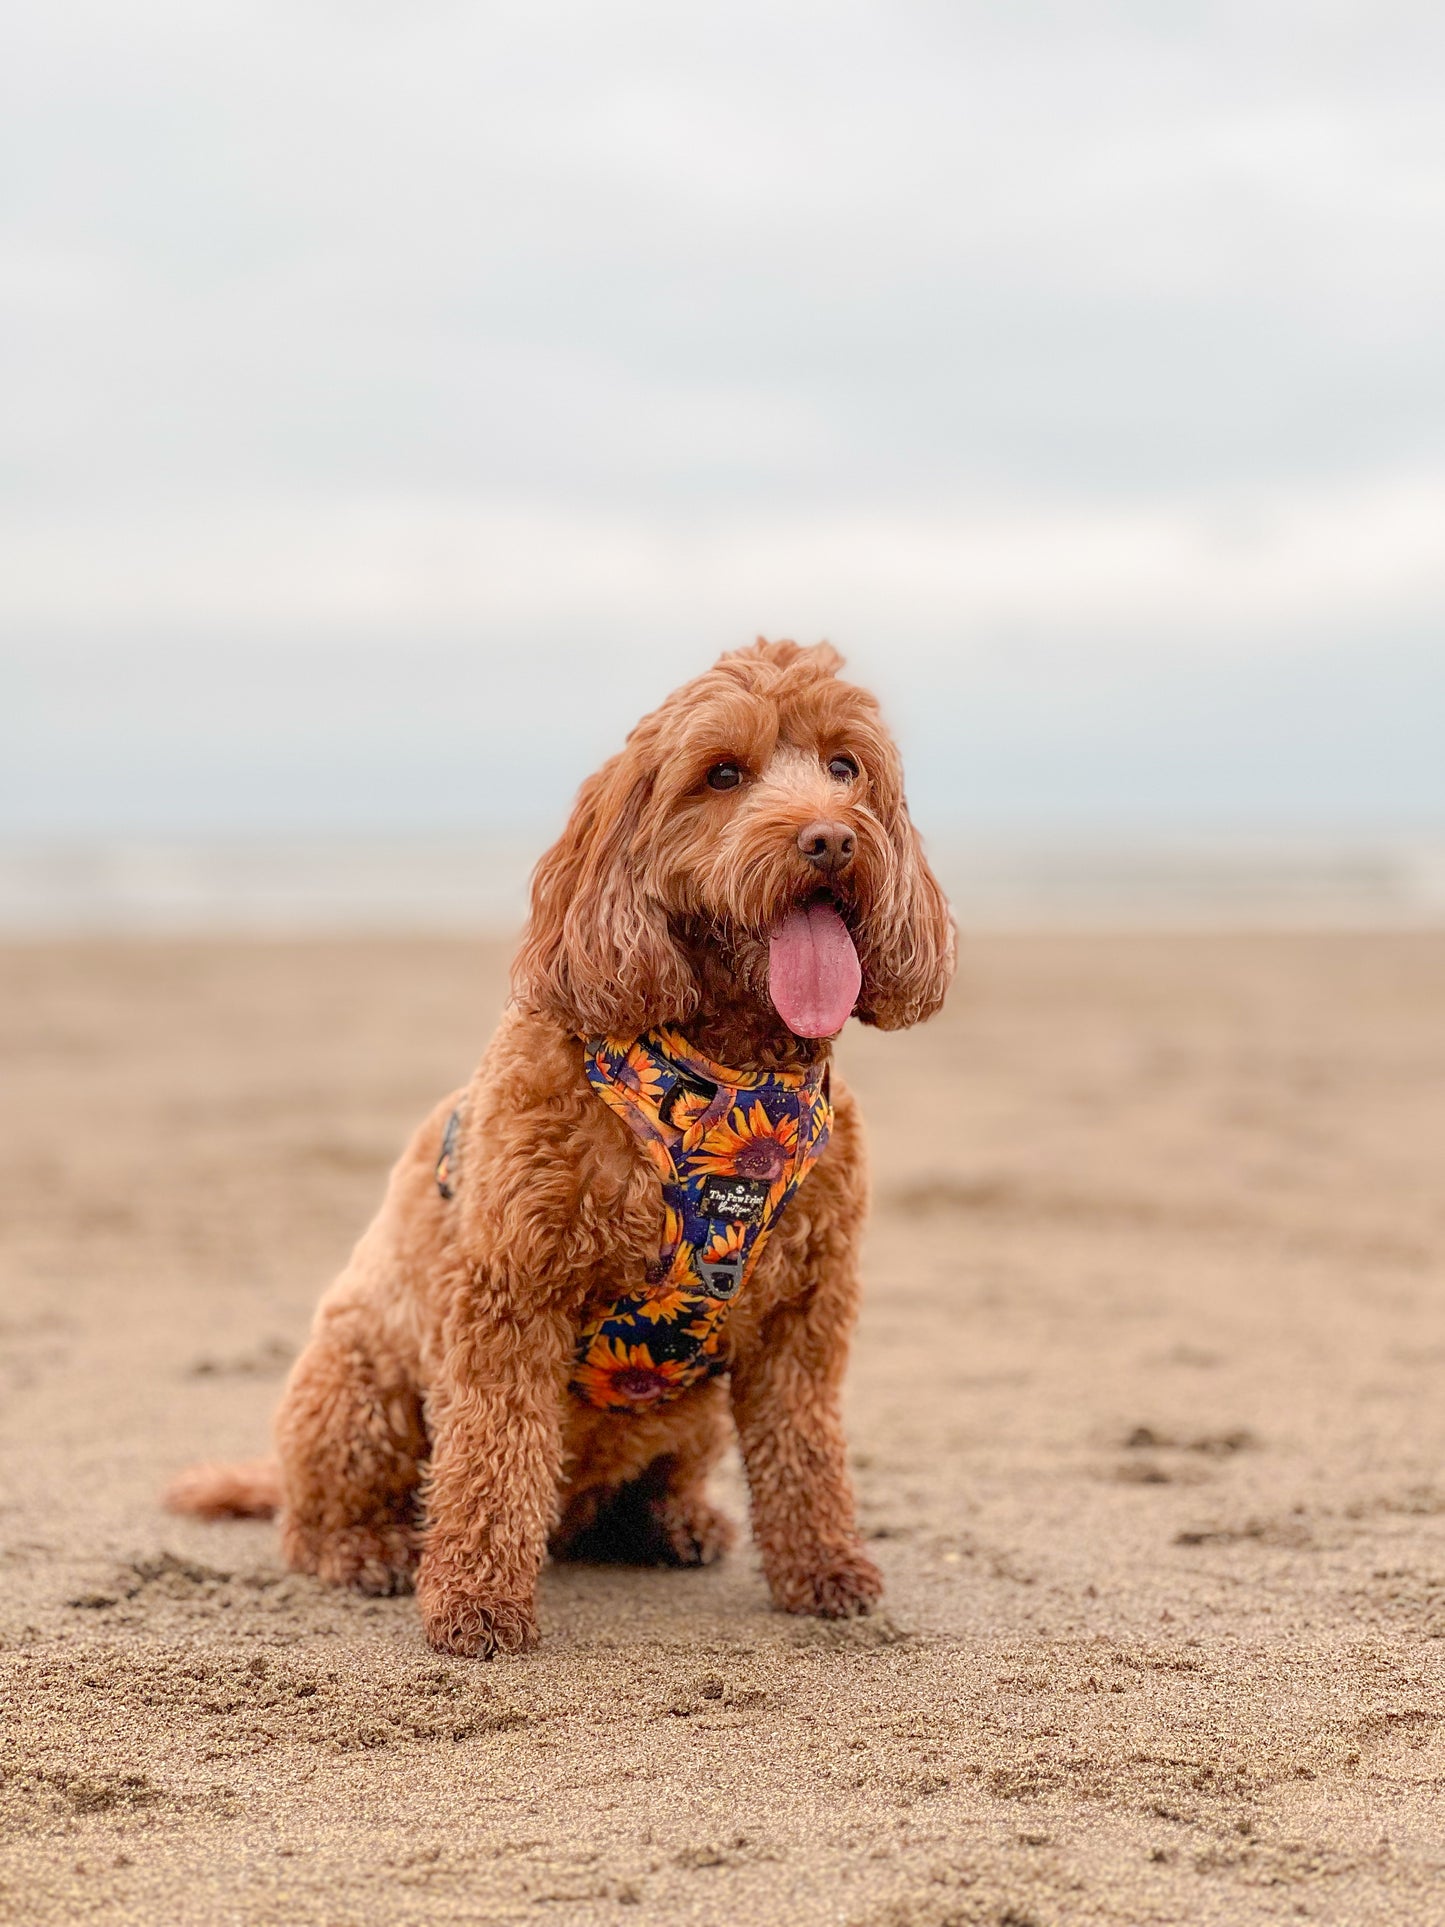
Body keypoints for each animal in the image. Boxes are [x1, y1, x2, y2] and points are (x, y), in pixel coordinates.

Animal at [166, 643, 963, 1657]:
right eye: (722, 775)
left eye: (844, 766)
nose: (829, 840)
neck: (724, 1075)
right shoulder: (510, 1295)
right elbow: (493, 1458)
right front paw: (476, 1602)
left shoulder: (804, 1316)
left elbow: (806, 1450)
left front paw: (823, 1568)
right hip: (358, 1380)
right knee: (317, 1518)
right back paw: (368, 1547)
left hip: (691, 1414)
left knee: (634, 1495)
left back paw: (671, 1524)